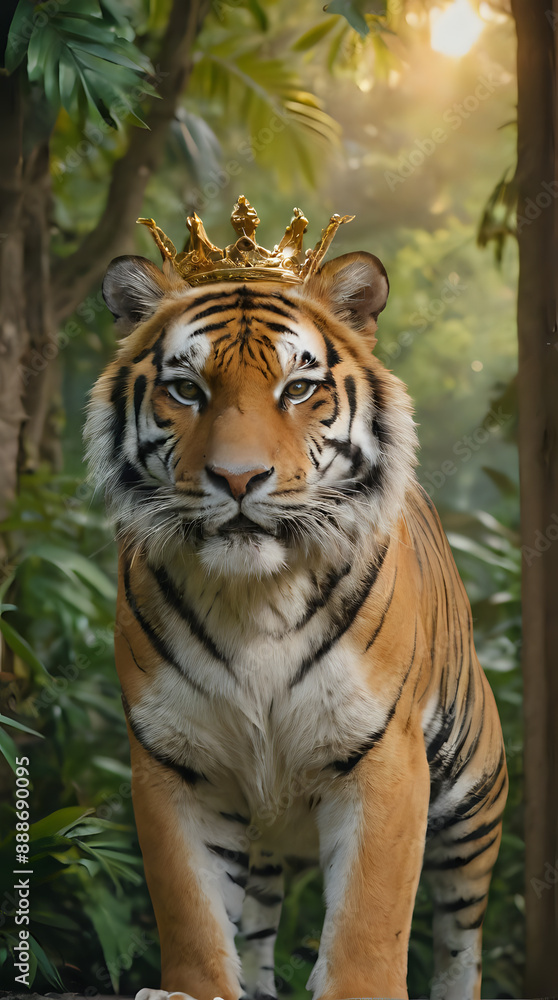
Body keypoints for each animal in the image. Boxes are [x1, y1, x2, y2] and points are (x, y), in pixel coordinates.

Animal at [85, 215, 507, 1000]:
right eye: (186, 389)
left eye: (299, 387)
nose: (238, 477)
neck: (254, 596)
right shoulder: (173, 764)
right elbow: (191, 909)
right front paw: (192, 990)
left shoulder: (384, 758)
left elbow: (370, 919)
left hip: (474, 799)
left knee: (460, 939)